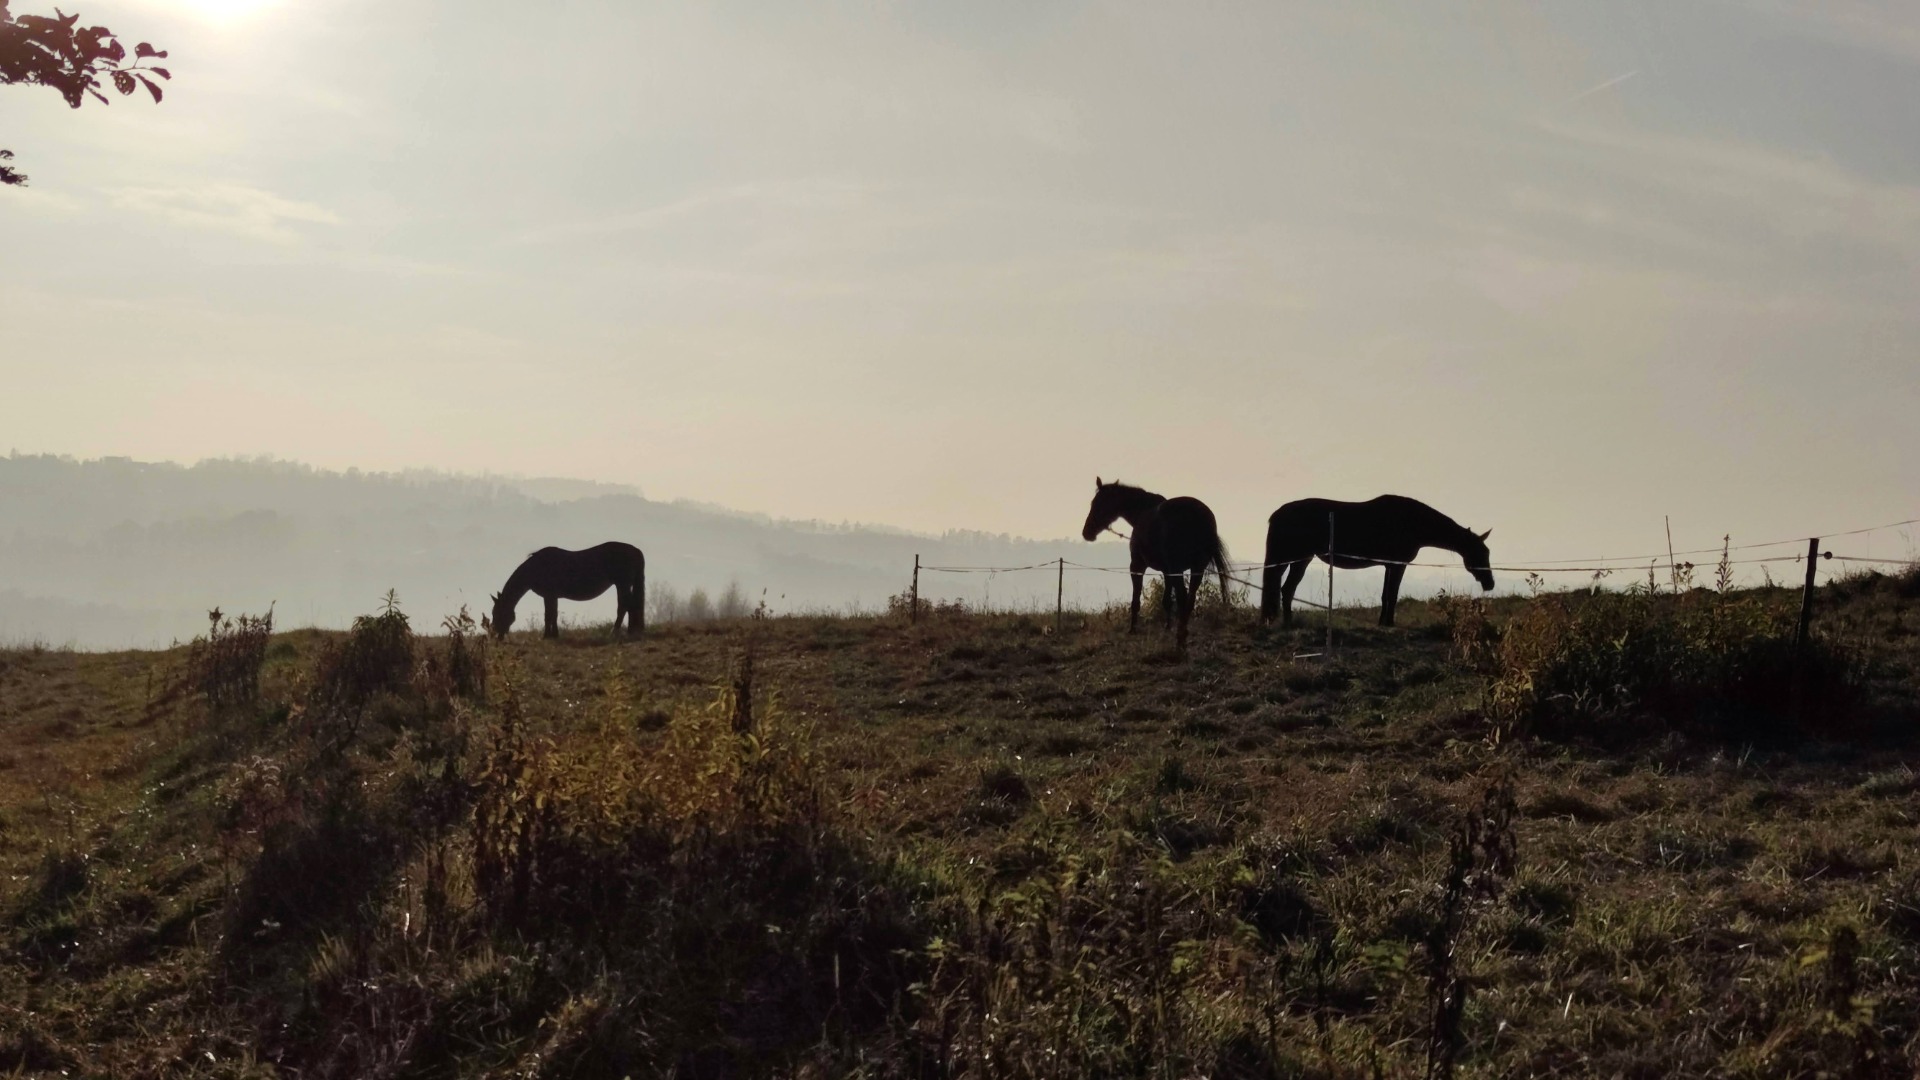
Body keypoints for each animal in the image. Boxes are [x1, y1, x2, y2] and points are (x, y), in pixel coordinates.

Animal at [491, 541, 648, 634]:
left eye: (497, 612)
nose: (495, 633)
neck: (536, 567)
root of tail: (636, 550)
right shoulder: (552, 596)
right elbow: (553, 614)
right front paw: (554, 635)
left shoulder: (549, 595)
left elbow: (548, 615)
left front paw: (547, 636)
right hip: (623, 584)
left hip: (622, 584)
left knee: (625, 606)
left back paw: (615, 631)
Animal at [1082, 472, 1228, 641]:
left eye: (1098, 503)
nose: (1086, 532)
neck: (1142, 512)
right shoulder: (1167, 571)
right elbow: (1166, 600)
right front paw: (1167, 626)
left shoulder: (1137, 565)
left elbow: (1136, 600)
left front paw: (1132, 629)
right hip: (1197, 567)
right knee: (1190, 599)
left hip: (1178, 568)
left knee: (1183, 597)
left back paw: (1181, 633)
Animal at [1259, 495, 1497, 626]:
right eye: (1479, 553)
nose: (1490, 583)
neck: (1412, 522)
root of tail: (1278, 513)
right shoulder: (1398, 565)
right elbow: (1392, 595)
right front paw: (1389, 623)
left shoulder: (1389, 565)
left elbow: (1385, 595)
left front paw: (1383, 622)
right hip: (1294, 559)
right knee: (1285, 588)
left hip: (1299, 559)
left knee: (1286, 588)